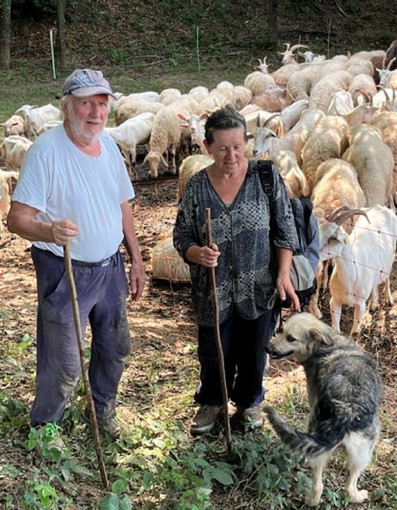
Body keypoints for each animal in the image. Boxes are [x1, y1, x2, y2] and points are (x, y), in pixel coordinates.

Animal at [262, 310, 380, 506]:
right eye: (281, 331)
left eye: (291, 338)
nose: (267, 348)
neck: (328, 344)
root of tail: (346, 413)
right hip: (366, 450)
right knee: (350, 485)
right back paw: (357, 496)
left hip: (315, 428)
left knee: (318, 485)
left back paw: (311, 500)